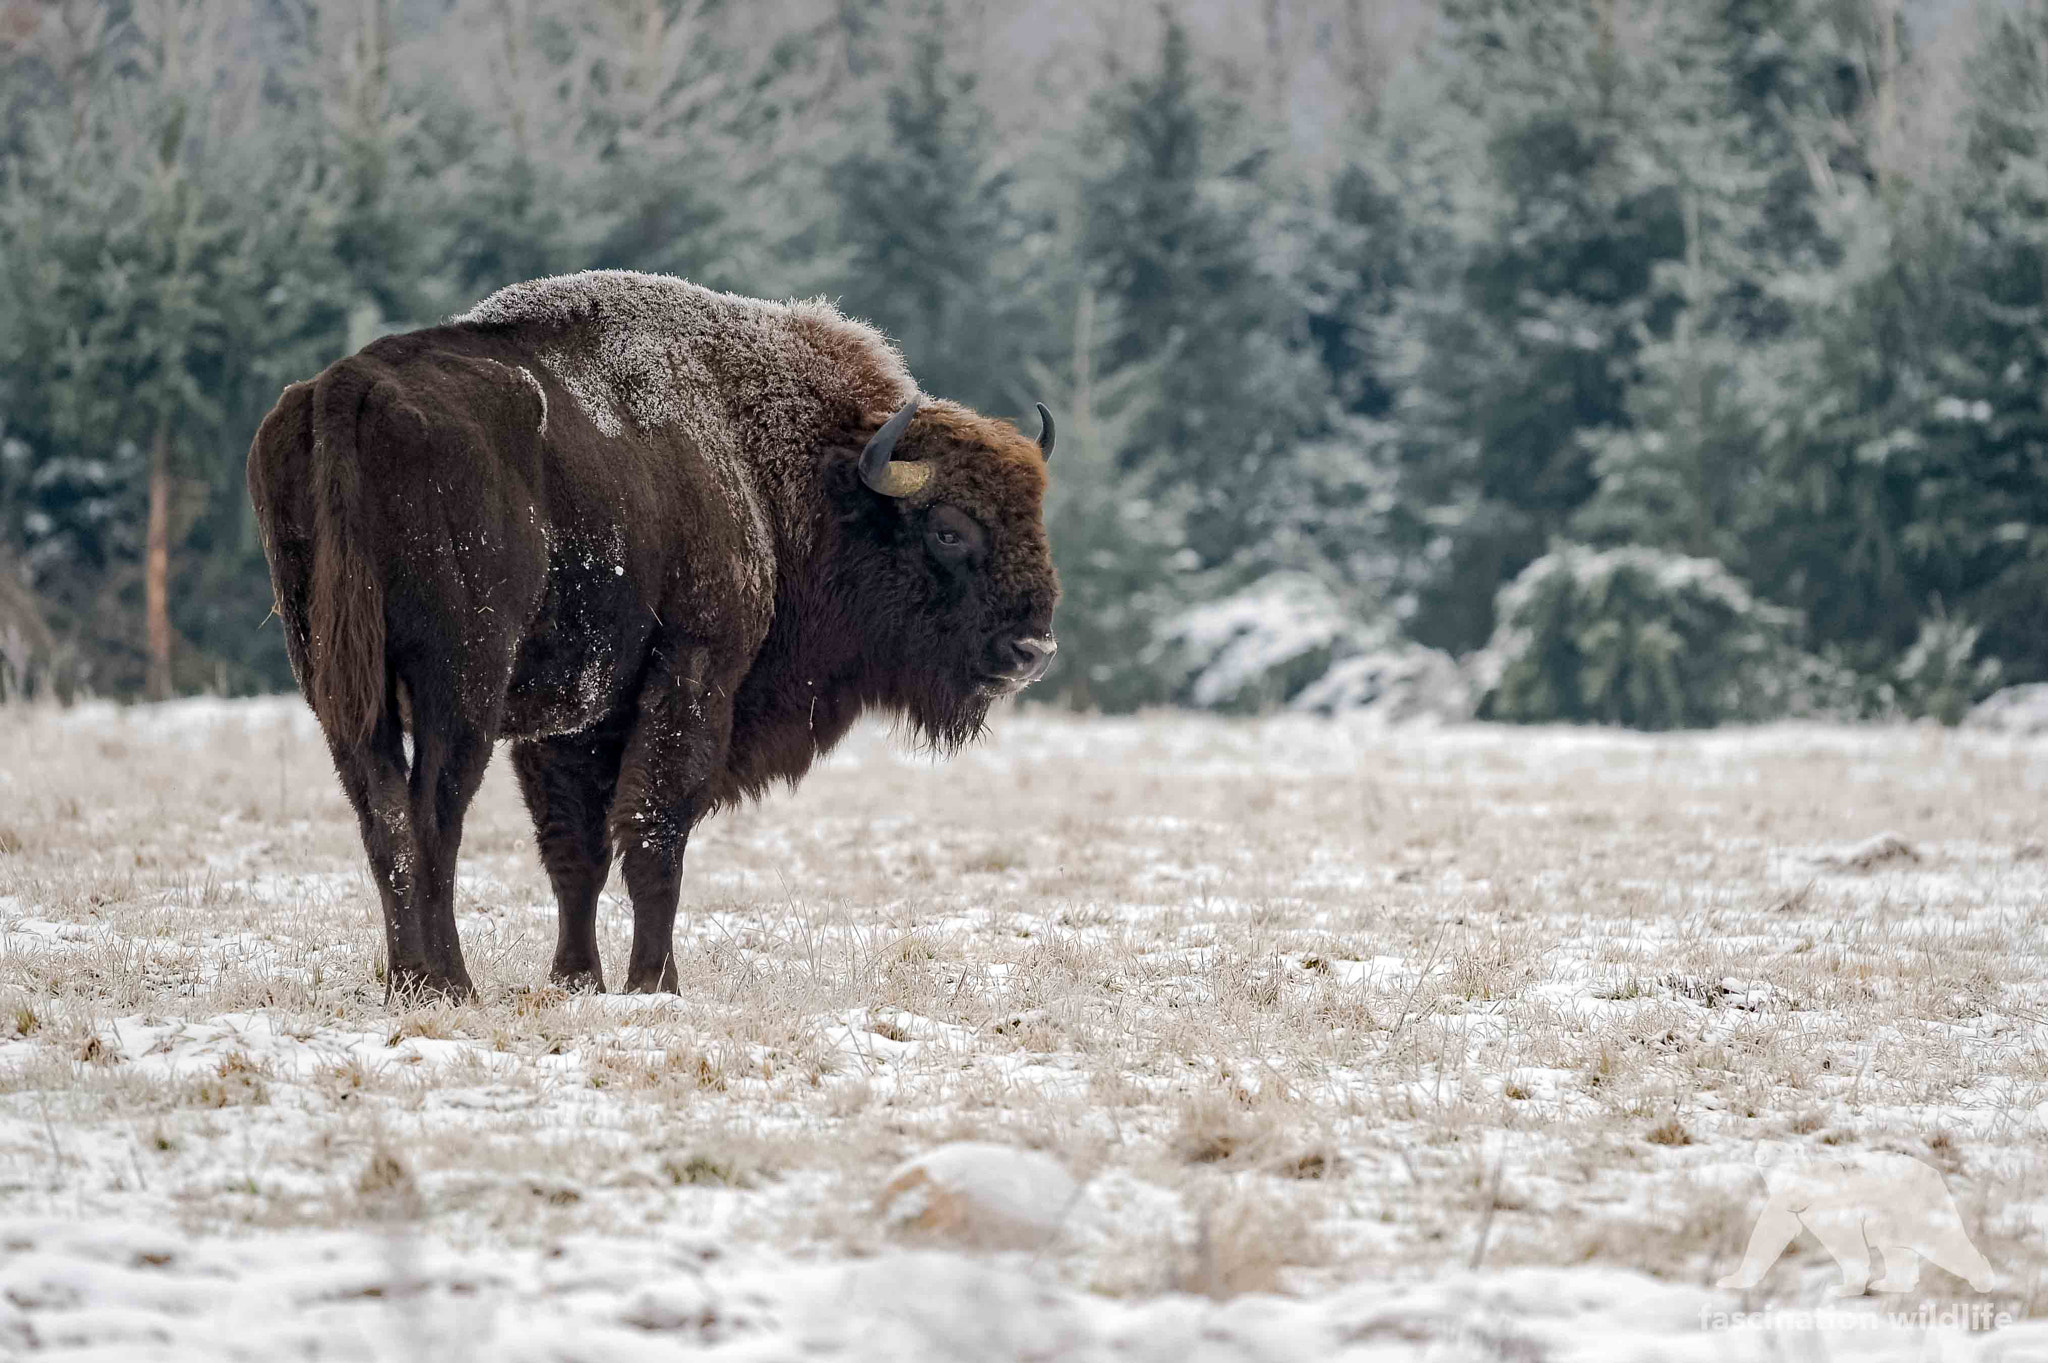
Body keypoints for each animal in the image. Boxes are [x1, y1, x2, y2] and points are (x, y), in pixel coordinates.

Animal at [243, 274, 1056, 998]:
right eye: (948, 529)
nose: (1032, 652)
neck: (773, 465)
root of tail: (348, 389)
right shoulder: (694, 673)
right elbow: (655, 830)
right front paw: (654, 982)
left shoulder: (572, 722)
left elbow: (576, 851)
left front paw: (577, 979)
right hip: (462, 686)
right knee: (432, 817)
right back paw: (449, 984)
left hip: (341, 688)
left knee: (383, 817)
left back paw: (410, 981)